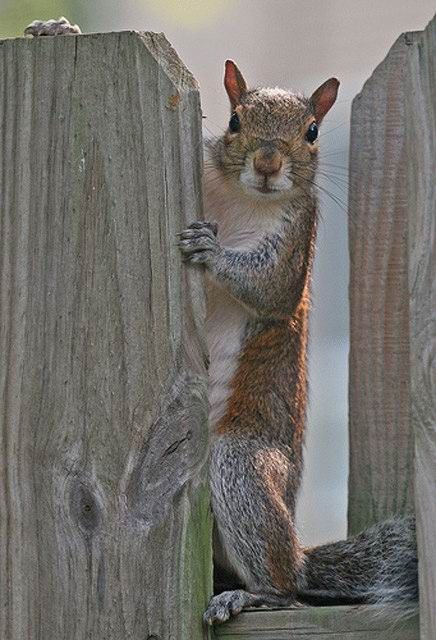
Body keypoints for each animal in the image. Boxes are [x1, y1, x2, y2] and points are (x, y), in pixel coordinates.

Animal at [24, 16, 418, 624]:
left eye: (311, 132)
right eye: (234, 121)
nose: (268, 163)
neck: (243, 199)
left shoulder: (295, 243)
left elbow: (269, 287)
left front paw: (211, 251)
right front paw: (55, 29)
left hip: (242, 465)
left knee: (285, 586)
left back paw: (249, 594)